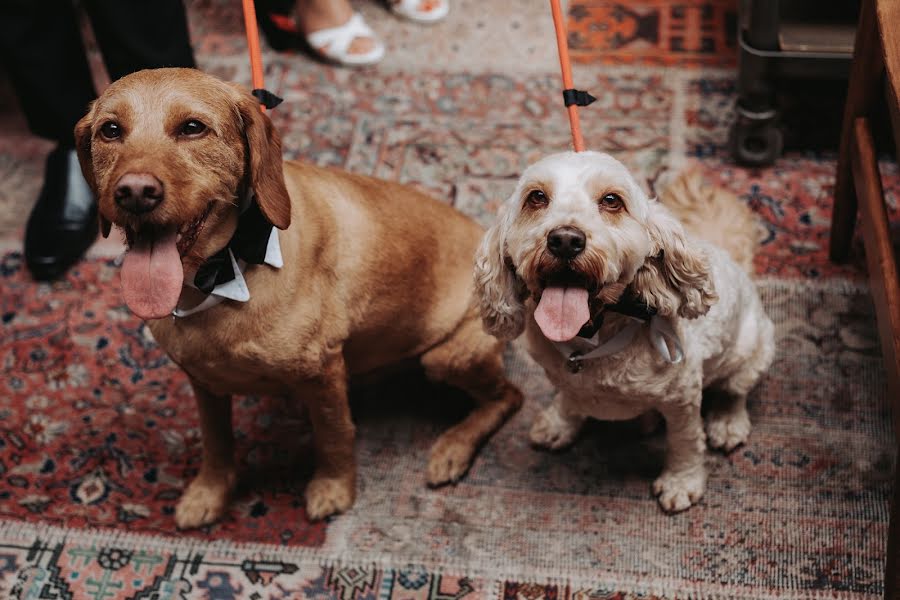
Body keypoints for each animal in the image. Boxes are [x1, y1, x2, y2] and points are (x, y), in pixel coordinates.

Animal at [77, 70, 528, 528]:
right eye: (110, 130)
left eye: (192, 127)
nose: (134, 192)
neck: (224, 273)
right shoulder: (203, 382)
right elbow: (216, 442)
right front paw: (209, 492)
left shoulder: (321, 372)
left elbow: (334, 436)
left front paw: (333, 488)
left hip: (445, 357)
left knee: (509, 398)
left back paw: (453, 448)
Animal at [474, 152, 776, 512]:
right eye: (536, 197)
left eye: (611, 200)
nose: (565, 240)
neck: (590, 342)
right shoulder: (563, 378)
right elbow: (569, 401)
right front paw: (560, 422)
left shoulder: (683, 398)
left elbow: (685, 441)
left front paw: (682, 481)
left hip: (752, 348)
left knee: (735, 390)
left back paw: (728, 421)